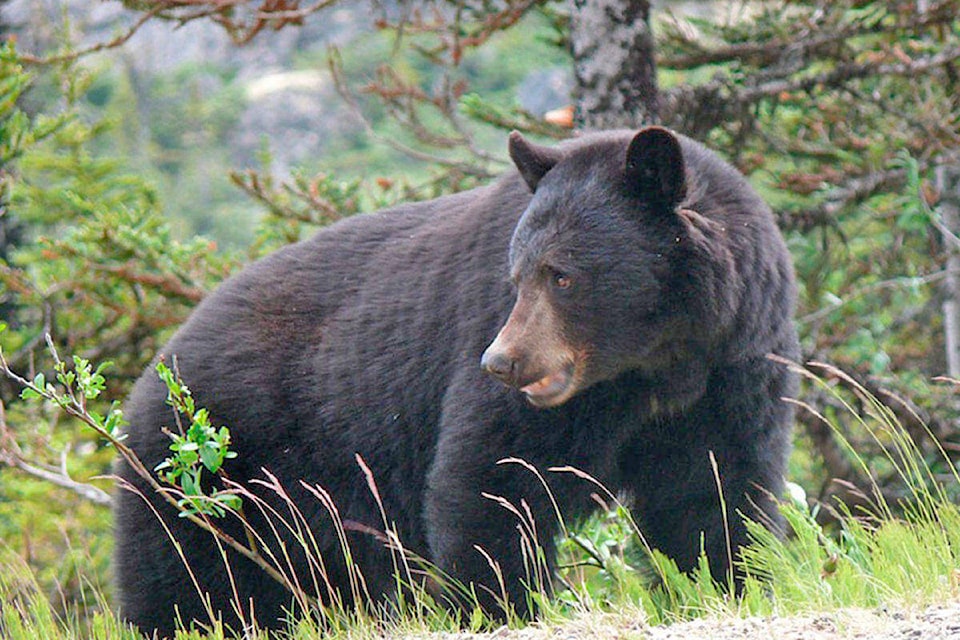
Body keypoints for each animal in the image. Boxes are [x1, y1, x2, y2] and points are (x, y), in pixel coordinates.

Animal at [116, 127, 800, 636]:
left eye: (563, 275)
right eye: (516, 273)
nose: (501, 362)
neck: (653, 366)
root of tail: (155, 370)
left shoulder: (731, 371)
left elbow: (712, 493)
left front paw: (727, 583)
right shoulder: (520, 384)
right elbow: (493, 479)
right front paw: (501, 606)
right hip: (206, 471)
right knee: (183, 582)